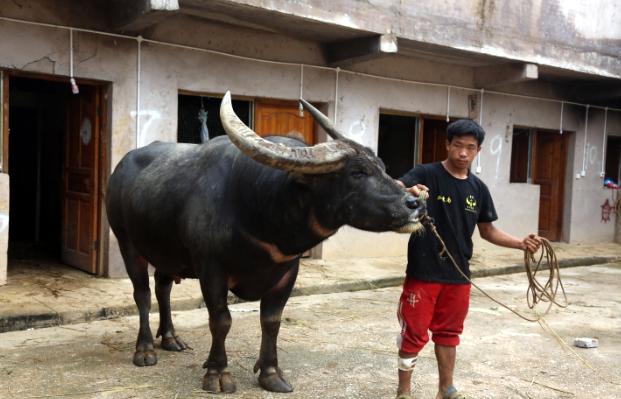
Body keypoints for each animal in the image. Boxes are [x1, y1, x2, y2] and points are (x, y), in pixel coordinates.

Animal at [106, 91, 426, 394]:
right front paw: (217, 373)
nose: (415, 203)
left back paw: (171, 338)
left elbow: (271, 321)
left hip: (167, 252)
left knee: (163, 288)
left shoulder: (287, 272)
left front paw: (271, 373)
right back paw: (145, 349)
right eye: (357, 172)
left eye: (382, 166)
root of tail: (119, 170)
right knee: (143, 294)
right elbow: (221, 320)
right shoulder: (211, 270)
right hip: (127, 244)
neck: (256, 207)